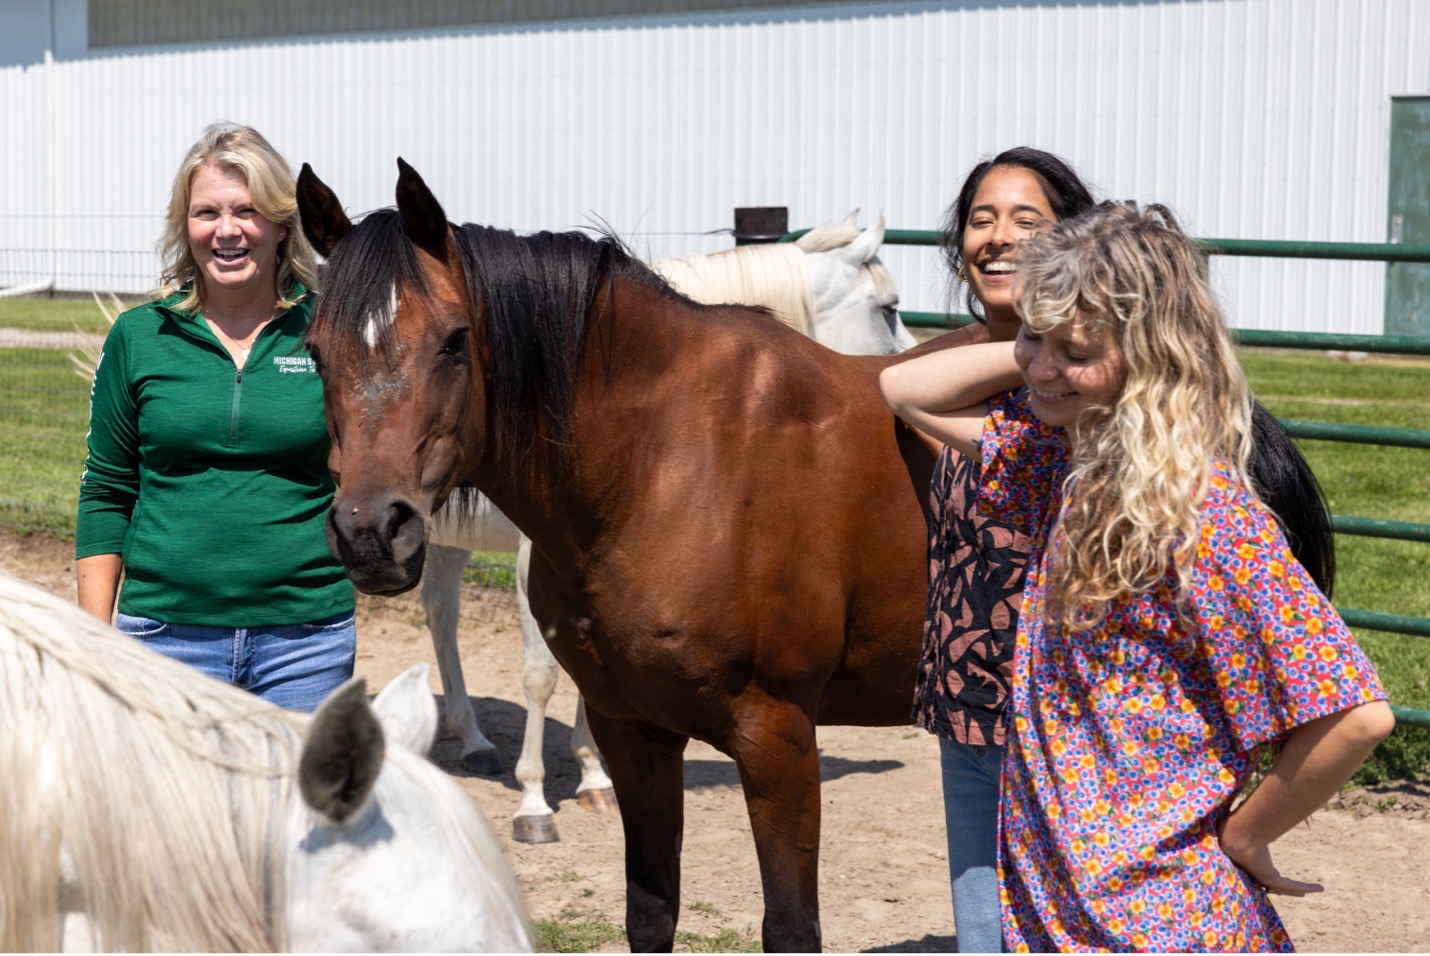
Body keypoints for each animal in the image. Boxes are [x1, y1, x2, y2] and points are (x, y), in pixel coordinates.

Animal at [296, 160, 978, 948]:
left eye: (454, 340)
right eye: (315, 350)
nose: (370, 532)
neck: (676, 458)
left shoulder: (777, 741)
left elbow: (788, 925)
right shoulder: (637, 732)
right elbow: (648, 909)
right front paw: (542, 798)